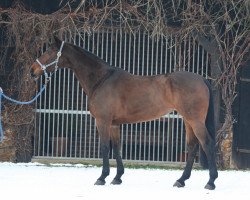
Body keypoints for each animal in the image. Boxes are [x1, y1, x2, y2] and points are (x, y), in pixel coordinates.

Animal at [30, 36, 217, 191]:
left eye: (49, 51)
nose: (32, 70)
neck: (101, 79)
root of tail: (202, 79)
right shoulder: (114, 124)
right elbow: (117, 148)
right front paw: (117, 178)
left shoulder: (103, 121)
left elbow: (105, 147)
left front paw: (102, 178)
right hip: (188, 120)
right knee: (192, 146)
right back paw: (181, 180)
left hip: (195, 120)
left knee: (207, 143)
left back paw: (210, 182)